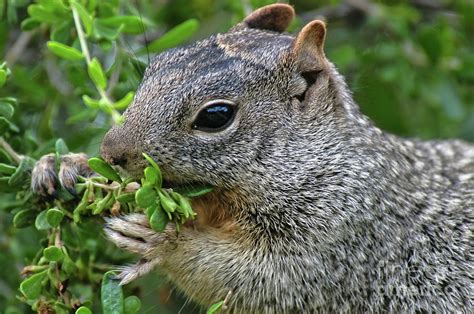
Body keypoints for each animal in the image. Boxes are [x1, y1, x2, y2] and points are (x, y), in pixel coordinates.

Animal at [31, 3, 472, 312]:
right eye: (158, 64)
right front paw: (65, 165)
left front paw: (164, 241)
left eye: (216, 115)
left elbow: (254, 280)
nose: (110, 151)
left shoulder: (342, 238)